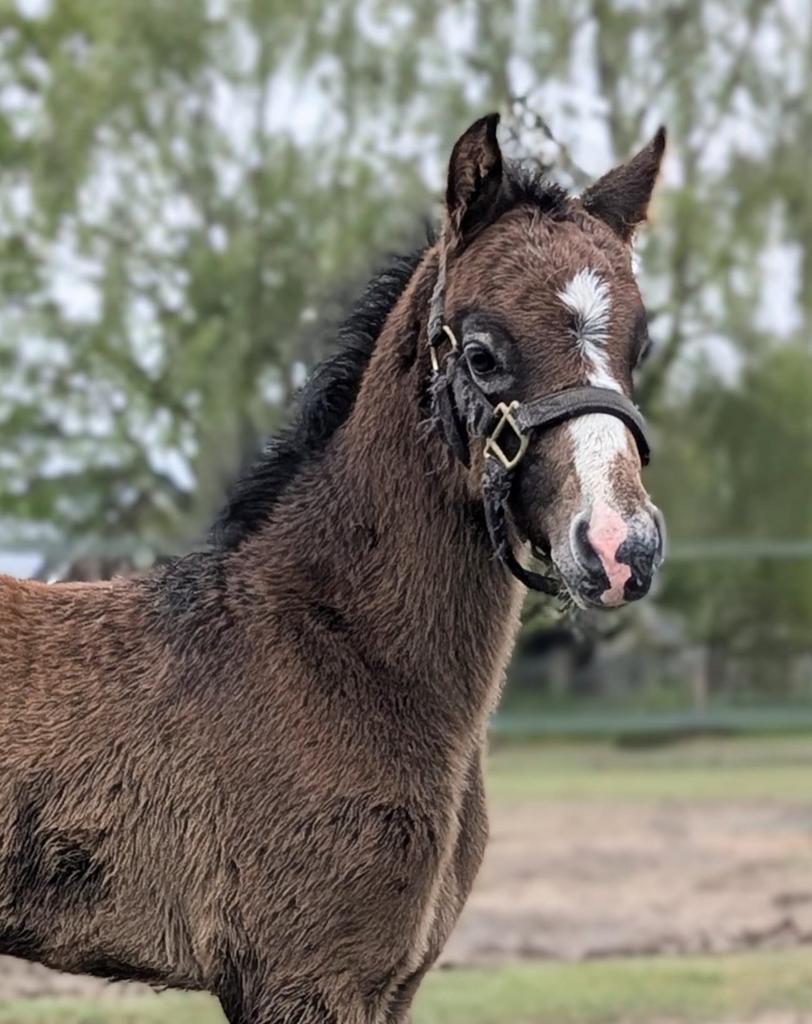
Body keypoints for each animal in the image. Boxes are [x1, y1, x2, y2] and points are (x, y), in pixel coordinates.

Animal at [0, 113, 666, 1023]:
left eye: (642, 345)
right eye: (482, 353)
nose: (620, 548)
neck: (331, 650)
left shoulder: (386, 984)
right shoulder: (303, 979)